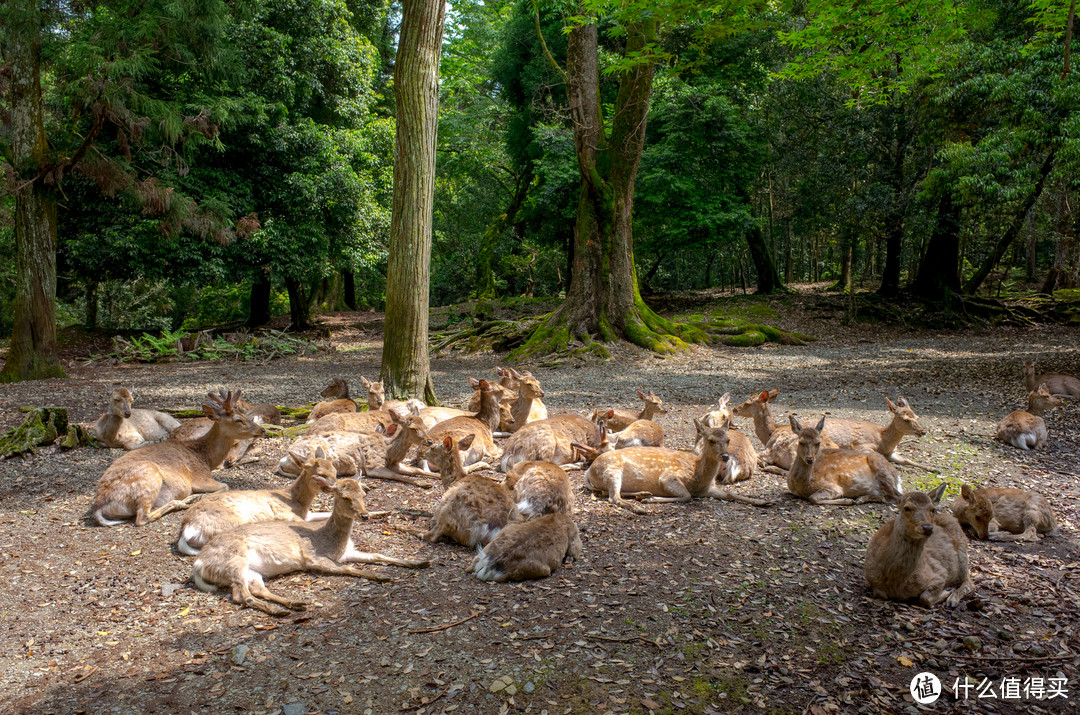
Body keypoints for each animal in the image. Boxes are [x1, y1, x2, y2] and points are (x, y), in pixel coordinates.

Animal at [91, 388, 263, 529]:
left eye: (244, 415)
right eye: (238, 419)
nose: (261, 429)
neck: (205, 458)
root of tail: (101, 506)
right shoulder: (199, 477)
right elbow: (225, 486)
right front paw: (201, 496)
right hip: (149, 476)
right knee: (141, 517)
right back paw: (184, 501)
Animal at [177, 449, 339, 552]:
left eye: (335, 470)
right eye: (320, 474)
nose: (334, 487)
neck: (298, 503)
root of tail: (187, 528)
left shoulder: (307, 514)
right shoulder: (288, 515)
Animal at [190, 481, 429, 617]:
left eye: (363, 494)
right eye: (345, 497)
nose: (365, 515)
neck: (333, 541)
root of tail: (198, 564)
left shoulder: (348, 552)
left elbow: (378, 554)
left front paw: (420, 562)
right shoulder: (313, 557)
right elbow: (347, 569)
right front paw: (382, 576)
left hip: (252, 571)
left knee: (257, 589)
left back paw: (295, 605)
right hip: (234, 562)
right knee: (241, 595)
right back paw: (279, 611)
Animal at [583, 421, 777, 516]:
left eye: (728, 440)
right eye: (710, 440)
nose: (725, 456)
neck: (699, 478)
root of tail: (588, 472)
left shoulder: (709, 489)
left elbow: (730, 494)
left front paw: (764, 502)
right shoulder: (669, 476)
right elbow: (686, 496)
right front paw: (651, 500)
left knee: (615, 494)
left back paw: (643, 494)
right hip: (612, 470)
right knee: (613, 497)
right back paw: (640, 506)